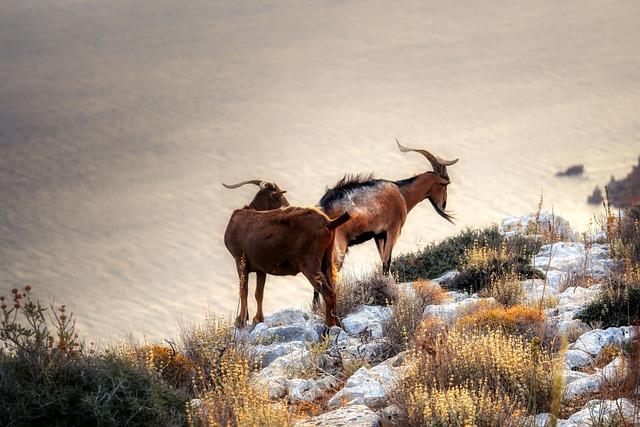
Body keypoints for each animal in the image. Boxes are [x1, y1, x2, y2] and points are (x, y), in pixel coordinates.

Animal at [222, 184, 348, 328]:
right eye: (281, 197)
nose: (288, 205)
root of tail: (329, 223)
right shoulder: (261, 268)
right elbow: (259, 293)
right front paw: (257, 319)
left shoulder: (239, 260)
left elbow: (244, 290)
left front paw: (241, 321)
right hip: (326, 259)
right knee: (333, 287)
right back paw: (337, 323)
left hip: (309, 263)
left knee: (328, 293)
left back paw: (329, 326)